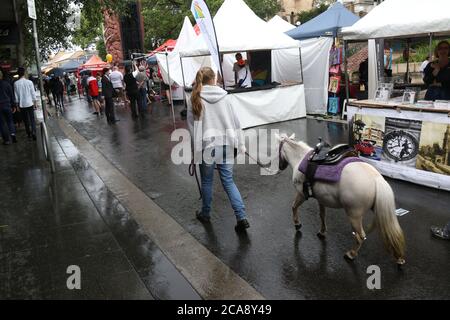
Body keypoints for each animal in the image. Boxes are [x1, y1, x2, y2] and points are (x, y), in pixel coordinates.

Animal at [276, 132, 406, 264]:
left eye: (278, 149)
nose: (279, 168)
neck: (300, 158)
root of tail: (376, 178)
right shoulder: (321, 199)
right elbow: (322, 215)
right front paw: (322, 231)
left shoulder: (302, 194)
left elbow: (294, 206)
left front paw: (297, 224)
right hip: (380, 210)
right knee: (391, 231)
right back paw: (399, 257)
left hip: (354, 215)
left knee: (360, 236)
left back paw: (351, 254)